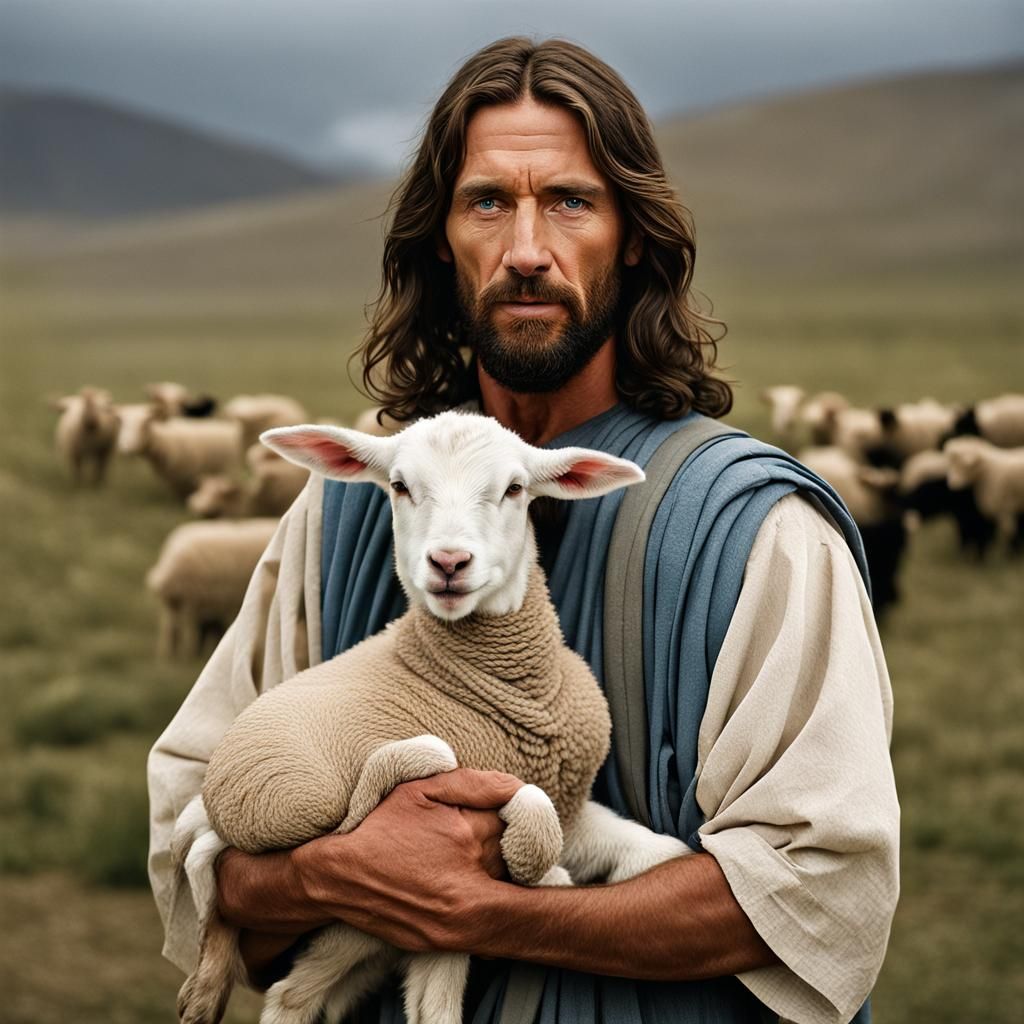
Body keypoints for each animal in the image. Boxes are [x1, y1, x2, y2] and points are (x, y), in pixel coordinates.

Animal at [172, 411, 692, 1024]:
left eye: (515, 489)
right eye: (399, 486)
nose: (448, 563)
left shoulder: (573, 810)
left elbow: (665, 852)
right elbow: (524, 805)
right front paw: (543, 867)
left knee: (305, 989)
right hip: (300, 819)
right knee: (210, 867)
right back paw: (205, 985)